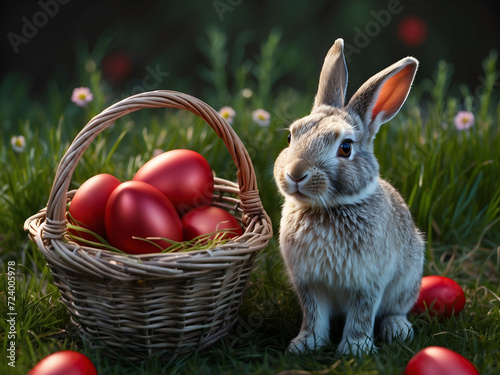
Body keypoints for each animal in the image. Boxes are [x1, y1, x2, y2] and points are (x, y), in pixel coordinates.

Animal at [276, 39, 424, 356]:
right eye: (290, 138)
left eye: (345, 148)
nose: (296, 174)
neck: (328, 208)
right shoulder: (309, 284)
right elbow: (313, 315)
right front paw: (305, 345)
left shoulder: (368, 284)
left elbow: (362, 315)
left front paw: (355, 349)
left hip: (407, 282)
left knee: (394, 310)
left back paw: (397, 329)